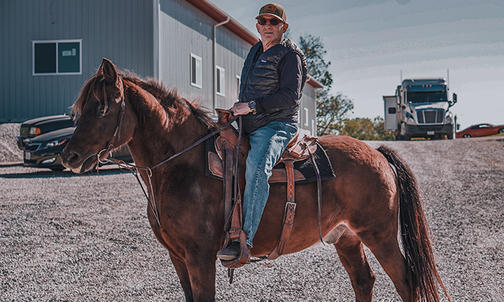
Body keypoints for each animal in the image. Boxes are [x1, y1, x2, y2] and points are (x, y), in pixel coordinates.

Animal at [61, 59, 450, 302]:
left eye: (101, 106)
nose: (69, 156)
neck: (181, 165)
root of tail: (377, 153)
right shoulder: (177, 257)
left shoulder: (200, 256)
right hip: (347, 237)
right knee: (363, 281)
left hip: (379, 235)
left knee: (406, 282)